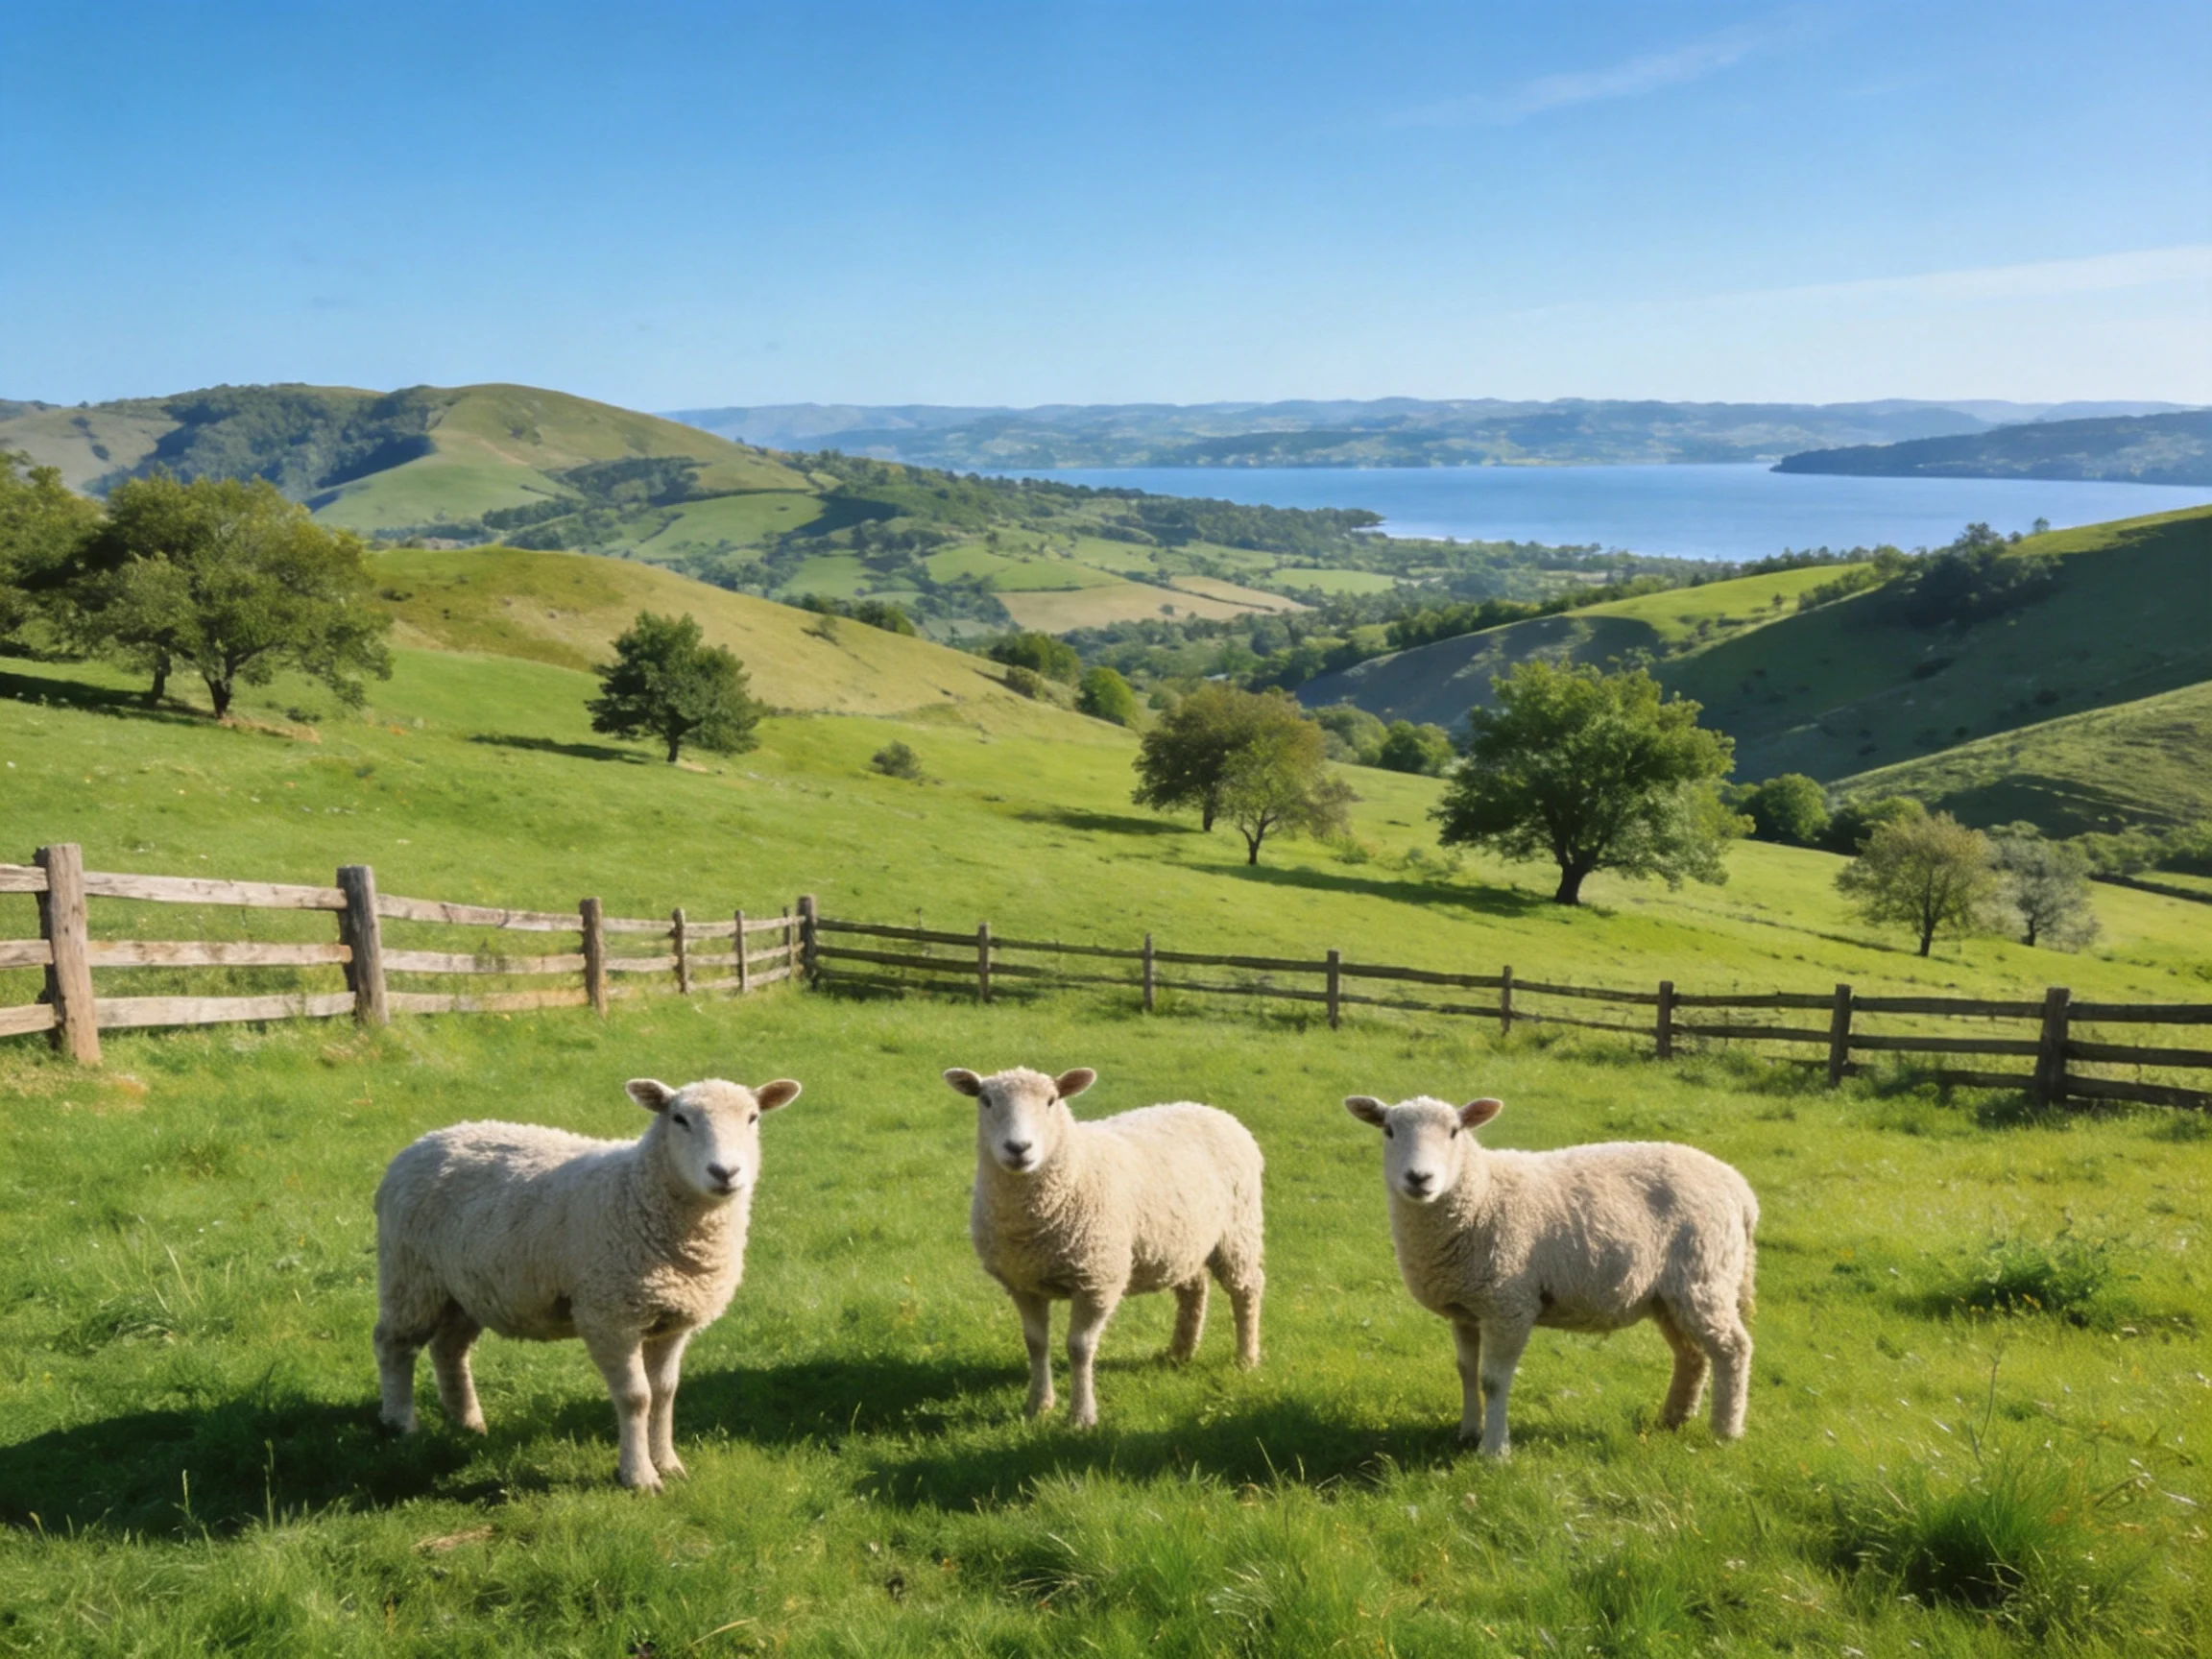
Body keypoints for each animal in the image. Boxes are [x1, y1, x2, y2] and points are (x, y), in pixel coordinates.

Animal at [373, 1074, 801, 1490]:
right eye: (679, 1119)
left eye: (752, 1118)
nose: (725, 1173)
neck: (636, 1191)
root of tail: (426, 1140)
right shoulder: (609, 1317)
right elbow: (636, 1397)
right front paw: (639, 1476)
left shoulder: (673, 1321)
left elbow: (664, 1394)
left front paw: (668, 1463)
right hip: (409, 1275)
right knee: (393, 1344)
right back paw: (401, 1424)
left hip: (465, 1289)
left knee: (449, 1349)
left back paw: (467, 1422)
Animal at [945, 1065, 1265, 1428]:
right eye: (985, 1100)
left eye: (1052, 1100)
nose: (1018, 1147)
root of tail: (1210, 1110)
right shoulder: (1023, 1283)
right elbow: (1036, 1344)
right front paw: (1038, 1406)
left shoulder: (1097, 1279)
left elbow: (1079, 1347)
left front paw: (1082, 1415)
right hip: (1184, 1241)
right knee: (1194, 1289)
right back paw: (1180, 1352)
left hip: (1239, 1231)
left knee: (1247, 1290)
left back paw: (1246, 1357)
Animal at [1343, 1092, 1757, 1457]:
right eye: (1389, 1130)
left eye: (1454, 1132)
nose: (1419, 1178)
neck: (1482, 1192)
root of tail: (1739, 1188)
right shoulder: (1465, 1308)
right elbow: (1466, 1370)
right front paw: (1469, 1430)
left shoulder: (1509, 1304)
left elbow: (1493, 1380)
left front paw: (1493, 1450)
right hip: (1669, 1295)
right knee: (1692, 1356)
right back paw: (1672, 1419)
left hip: (1705, 1276)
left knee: (1732, 1349)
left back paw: (1725, 1430)